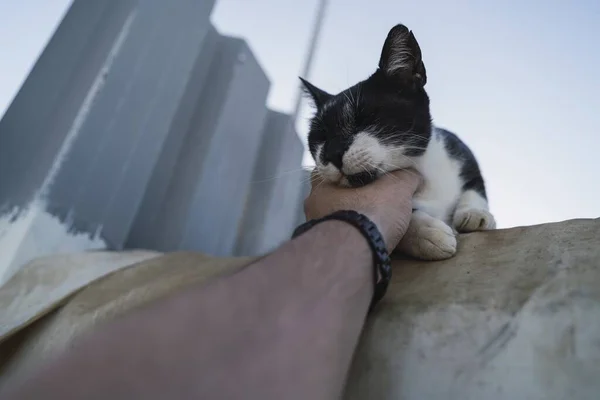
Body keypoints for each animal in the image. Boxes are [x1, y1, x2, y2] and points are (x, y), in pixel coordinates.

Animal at [302, 23, 494, 260]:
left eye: (365, 117)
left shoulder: (459, 149)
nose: (332, 153)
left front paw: (475, 212)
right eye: (319, 138)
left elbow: (475, 186)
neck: (423, 170)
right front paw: (427, 233)